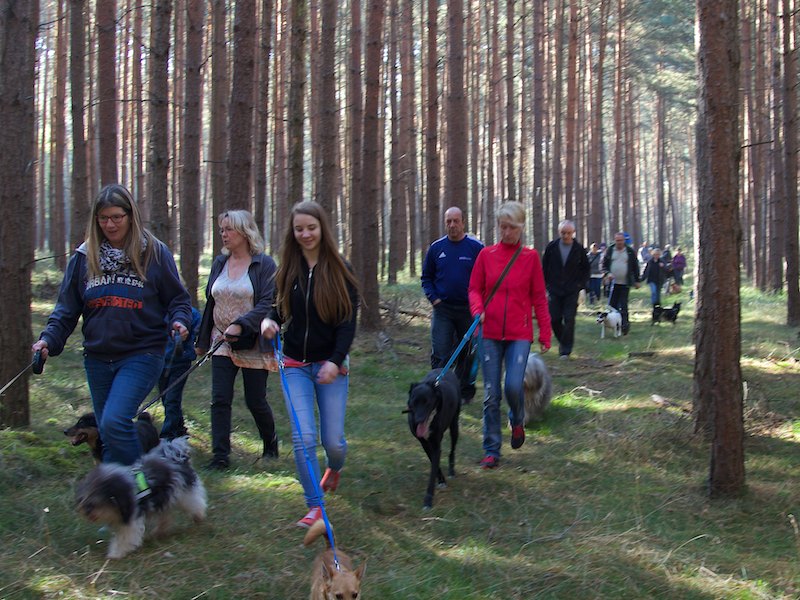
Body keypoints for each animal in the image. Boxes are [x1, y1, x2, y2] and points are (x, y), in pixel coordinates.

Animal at [75, 437, 207, 559]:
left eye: (101, 497)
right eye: (85, 496)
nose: (87, 509)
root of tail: (174, 454)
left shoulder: (131, 518)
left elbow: (125, 537)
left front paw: (115, 553)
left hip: (184, 492)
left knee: (195, 502)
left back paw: (198, 516)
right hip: (164, 498)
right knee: (166, 516)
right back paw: (159, 531)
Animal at [405, 368, 460, 509]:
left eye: (427, 402)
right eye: (414, 401)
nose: (418, 420)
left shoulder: (436, 445)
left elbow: (433, 469)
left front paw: (428, 500)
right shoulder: (424, 444)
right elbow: (434, 463)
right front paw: (440, 479)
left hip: (454, 426)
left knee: (452, 450)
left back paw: (451, 470)